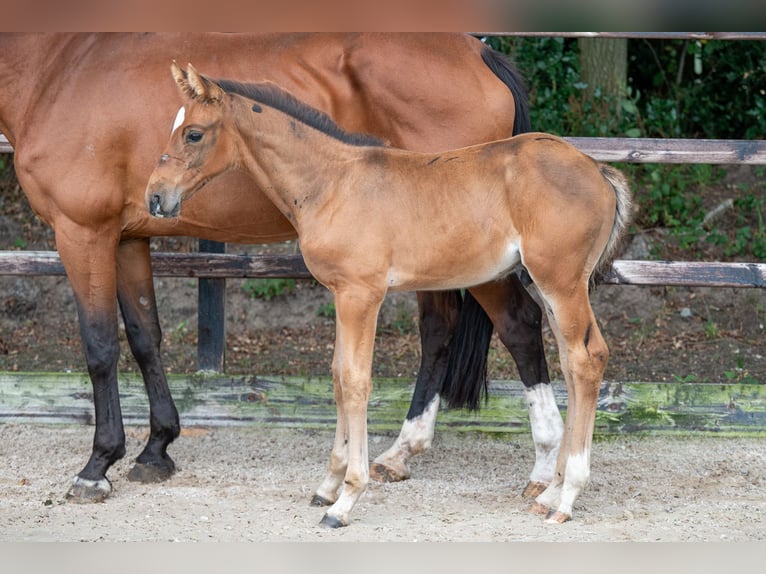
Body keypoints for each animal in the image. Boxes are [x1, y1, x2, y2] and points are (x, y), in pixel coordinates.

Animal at [0, 33, 560, 506]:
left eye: (194, 133)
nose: (157, 194)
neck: (56, 70)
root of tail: (479, 51)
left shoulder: (83, 232)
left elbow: (99, 347)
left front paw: (97, 466)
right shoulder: (128, 238)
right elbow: (144, 338)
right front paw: (156, 448)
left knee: (517, 324)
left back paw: (539, 466)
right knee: (442, 327)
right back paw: (403, 453)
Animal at [147, 64, 632, 532]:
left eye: (193, 133)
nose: (155, 196)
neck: (333, 183)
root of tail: (599, 171)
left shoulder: (362, 295)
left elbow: (357, 382)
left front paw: (346, 499)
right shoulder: (341, 294)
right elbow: (337, 378)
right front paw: (328, 485)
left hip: (560, 282)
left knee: (586, 359)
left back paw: (566, 498)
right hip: (549, 286)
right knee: (570, 363)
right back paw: (551, 491)